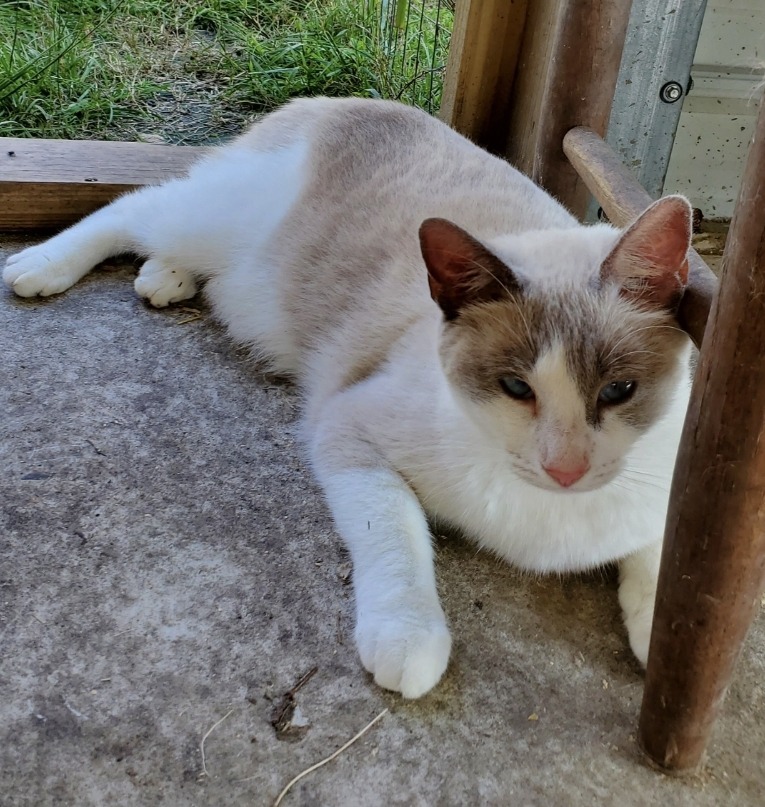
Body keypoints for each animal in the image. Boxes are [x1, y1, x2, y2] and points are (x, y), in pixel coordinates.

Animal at [2, 96, 692, 700]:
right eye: (516, 388)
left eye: (619, 390)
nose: (565, 468)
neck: (551, 517)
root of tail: (340, 100)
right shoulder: (350, 430)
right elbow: (396, 533)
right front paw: (409, 640)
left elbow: (664, 564)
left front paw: (660, 642)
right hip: (214, 218)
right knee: (132, 207)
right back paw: (41, 266)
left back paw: (164, 277)